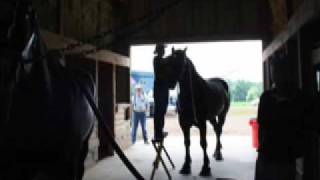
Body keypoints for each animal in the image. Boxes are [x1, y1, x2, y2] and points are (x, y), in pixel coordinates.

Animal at [165, 47, 230, 176]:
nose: (169, 83)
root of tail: (222, 83)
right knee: (216, 130)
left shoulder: (201, 123)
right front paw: (186, 166)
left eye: (183, 63)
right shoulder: (183, 124)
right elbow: (187, 142)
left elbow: (203, 143)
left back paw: (219, 154)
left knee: (219, 131)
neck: (193, 94)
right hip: (211, 117)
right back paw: (216, 152)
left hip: (222, 115)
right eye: (169, 61)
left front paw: (205, 168)